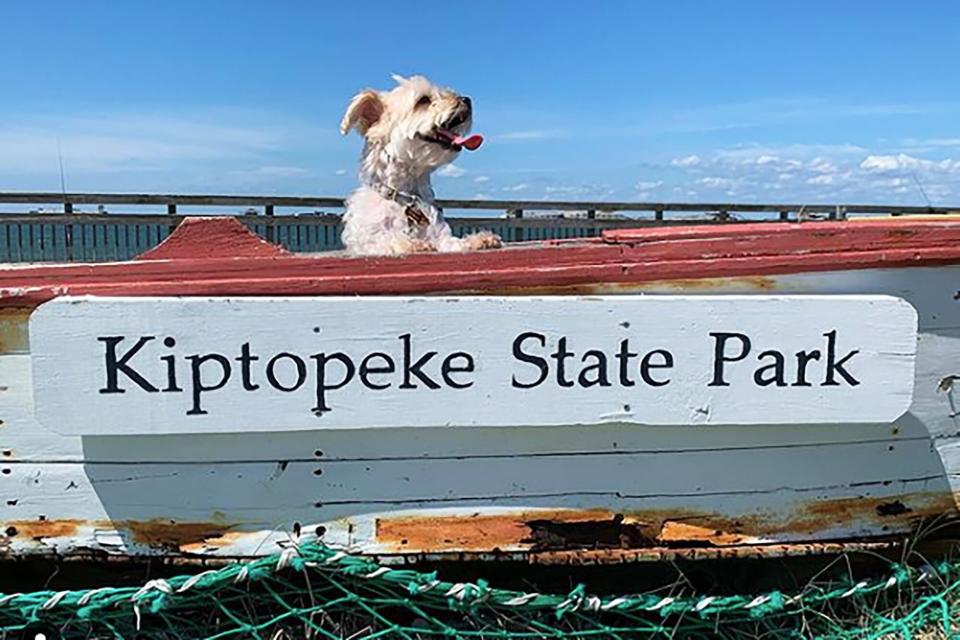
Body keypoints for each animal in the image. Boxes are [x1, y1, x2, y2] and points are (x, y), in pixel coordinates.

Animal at [340, 75, 502, 255]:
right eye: (423, 100)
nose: (467, 99)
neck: (407, 198)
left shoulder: (440, 236)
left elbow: (453, 242)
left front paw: (479, 239)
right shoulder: (366, 241)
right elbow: (385, 240)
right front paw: (412, 243)